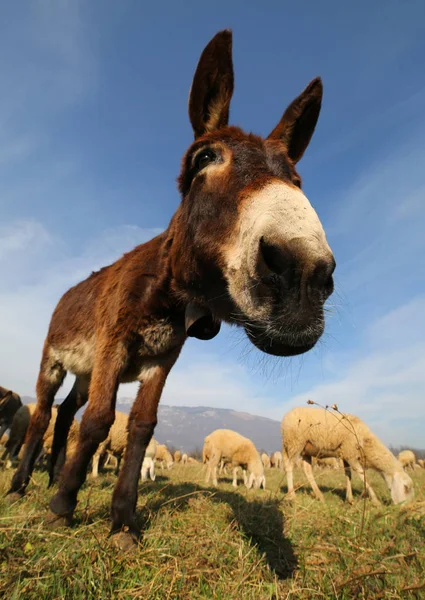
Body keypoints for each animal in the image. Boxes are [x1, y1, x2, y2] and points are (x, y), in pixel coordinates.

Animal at [280, 408, 412, 506]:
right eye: (406, 488)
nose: (405, 508)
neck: (367, 442)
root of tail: (286, 416)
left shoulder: (346, 454)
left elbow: (348, 475)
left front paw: (350, 498)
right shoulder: (351, 454)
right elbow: (363, 475)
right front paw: (375, 500)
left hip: (306, 448)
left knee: (307, 470)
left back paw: (319, 495)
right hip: (295, 443)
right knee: (289, 466)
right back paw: (292, 495)